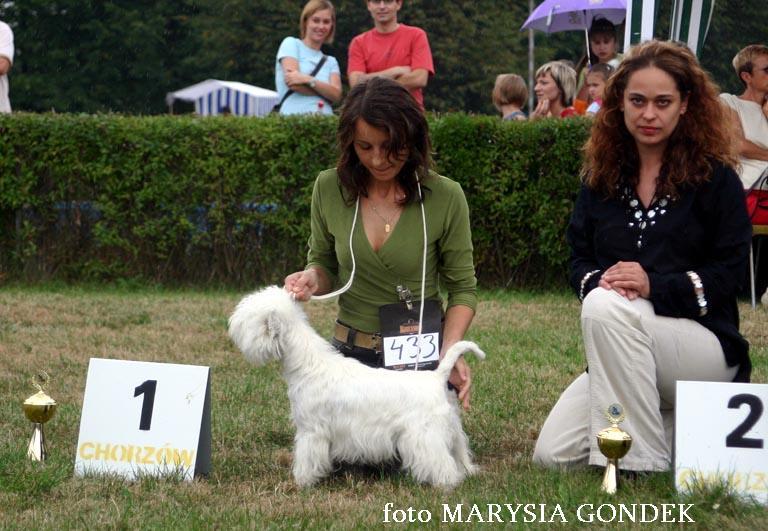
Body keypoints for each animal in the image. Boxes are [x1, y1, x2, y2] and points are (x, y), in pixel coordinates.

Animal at [228, 286, 486, 490]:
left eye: (248, 320)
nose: (231, 325)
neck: (308, 364)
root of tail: (436, 377)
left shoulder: (311, 430)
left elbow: (306, 458)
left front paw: (302, 483)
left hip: (424, 435)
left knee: (441, 463)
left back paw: (446, 485)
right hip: (451, 429)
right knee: (459, 452)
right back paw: (467, 472)